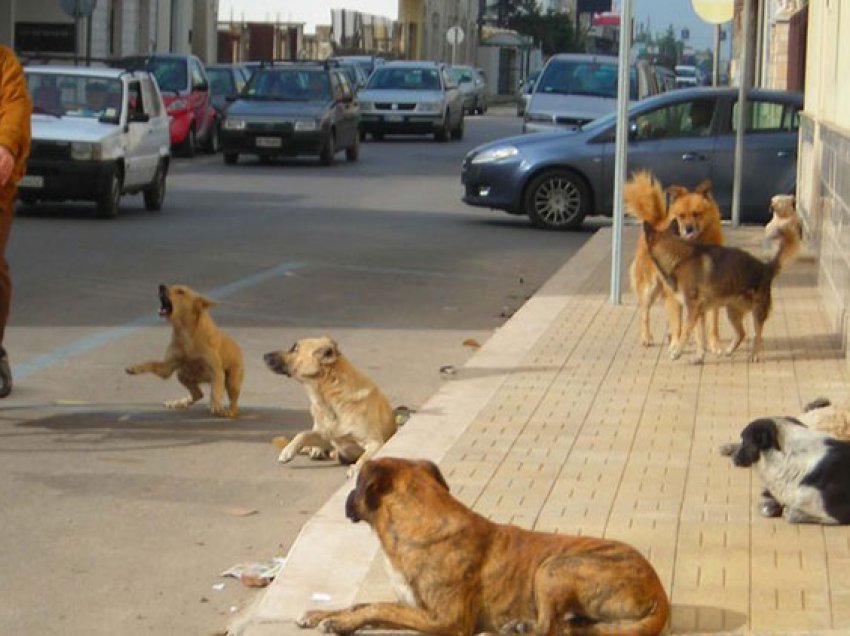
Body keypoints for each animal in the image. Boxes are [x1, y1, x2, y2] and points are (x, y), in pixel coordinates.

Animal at [127, 284, 243, 418]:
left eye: (180, 291)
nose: (161, 286)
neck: (184, 332)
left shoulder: (216, 371)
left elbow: (215, 391)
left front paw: (215, 405)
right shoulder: (166, 368)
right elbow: (150, 362)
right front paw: (134, 368)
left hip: (232, 381)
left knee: (232, 403)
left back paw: (228, 411)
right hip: (181, 374)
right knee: (198, 394)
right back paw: (178, 403)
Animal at [264, 338, 396, 476]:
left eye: (295, 349)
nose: (264, 356)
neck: (332, 401)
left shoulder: (375, 442)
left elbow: (364, 458)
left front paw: (356, 468)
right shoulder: (328, 437)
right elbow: (303, 434)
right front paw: (287, 451)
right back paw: (316, 450)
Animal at [298, 458, 668, 636]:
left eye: (357, 482)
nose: (346, 499)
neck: (420, 521)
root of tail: (660, 592)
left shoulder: (446, 620)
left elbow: (376, 608)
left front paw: (340, 624)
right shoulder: (414, 606)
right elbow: (363, 604)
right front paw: (323, 614)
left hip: (555, 566)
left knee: (549, 629)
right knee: (569, 627)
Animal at [624, 171, 724, 356]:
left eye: (697, 214)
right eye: (681, 216)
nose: (688, 228)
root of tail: (656, 224)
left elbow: (712, 324)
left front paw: (715, 345)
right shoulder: (674, 294)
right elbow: (677, 321)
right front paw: (677, 345)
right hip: (650, 287)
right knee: (645, 312)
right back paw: (647, 337)